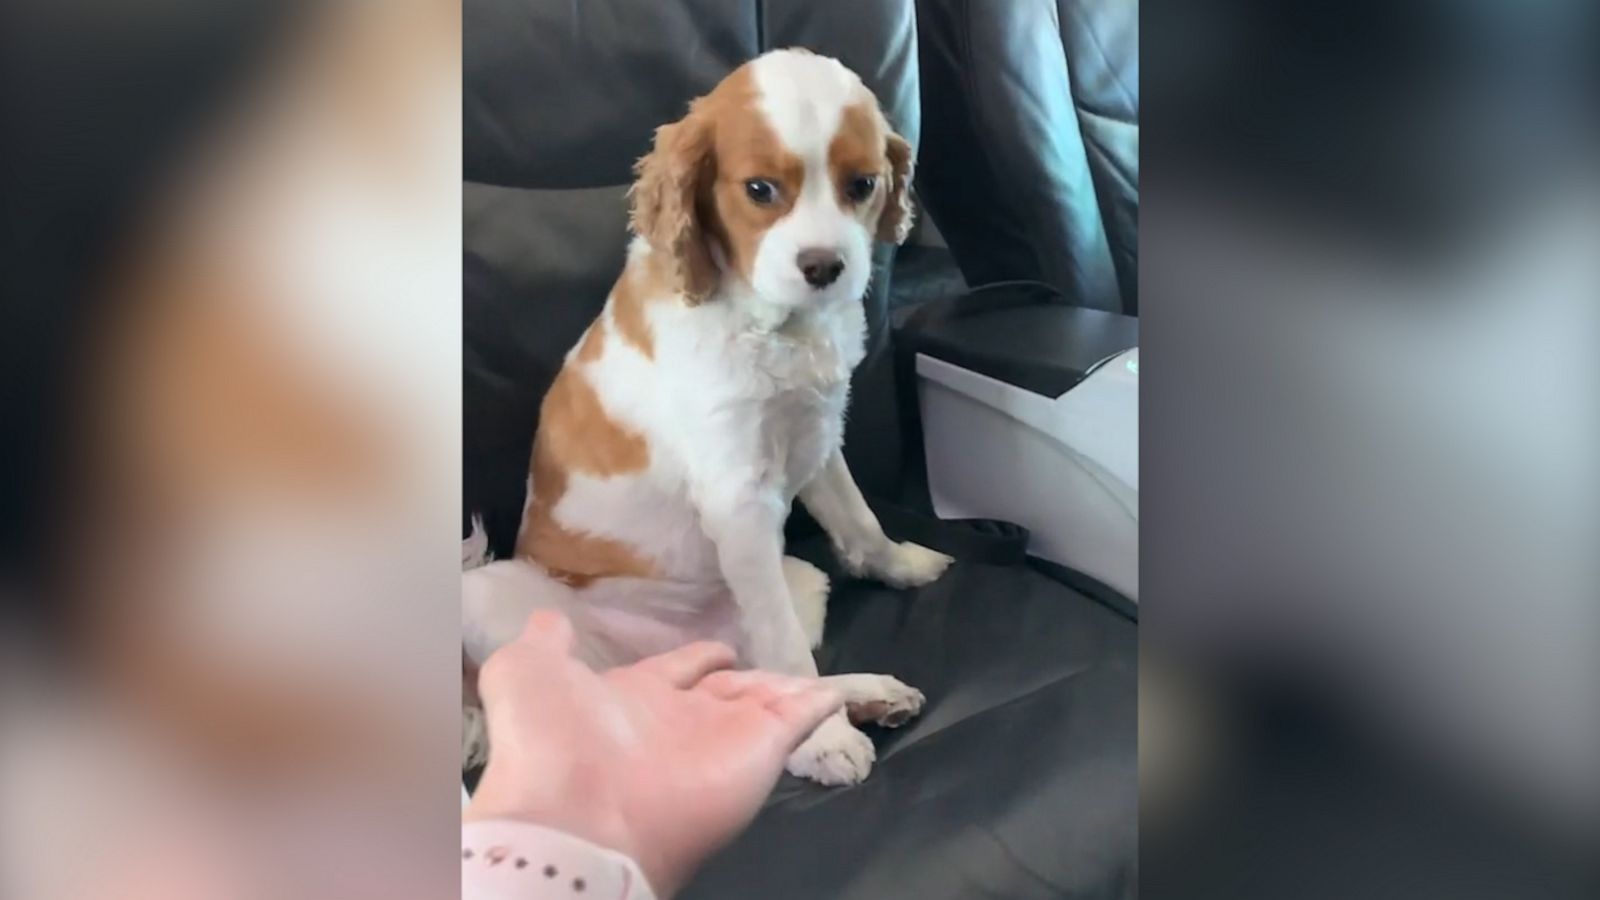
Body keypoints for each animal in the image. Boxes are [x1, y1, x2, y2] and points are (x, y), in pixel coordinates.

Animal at [464, 47, 947, 784]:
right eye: (760, 190)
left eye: (862, 183)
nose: (824, 267)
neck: (770, 322)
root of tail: (652, 658)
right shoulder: (739, 500)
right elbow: (787, 653)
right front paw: (825, 740)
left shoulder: (814, 441)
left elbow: (860, 521)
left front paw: (901, 563)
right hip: (499, 598)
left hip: (795, 579)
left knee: (743, 680)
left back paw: (867, 694)